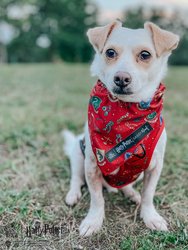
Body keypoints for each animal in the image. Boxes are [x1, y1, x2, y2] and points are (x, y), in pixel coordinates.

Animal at [63, 20, 179, 236]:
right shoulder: (92, 166)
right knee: (76, 178)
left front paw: (150, 216)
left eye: (145, 55)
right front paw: (93, 221)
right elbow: (96, 198)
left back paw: (132, 194)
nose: (121, 78)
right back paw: (73, 194)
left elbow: (149, 194)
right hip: (77, 154)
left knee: (127, 184)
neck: (127, 112)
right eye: (110, 52)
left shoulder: (154, 167)